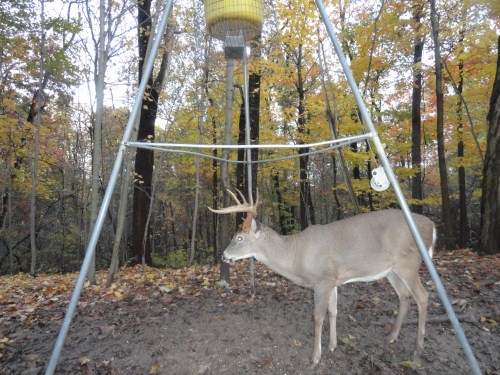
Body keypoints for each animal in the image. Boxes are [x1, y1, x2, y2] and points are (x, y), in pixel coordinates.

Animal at [209, 189, 436, 366]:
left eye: (239, 238)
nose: (224, 255)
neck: (296, 255)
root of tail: (432, 226)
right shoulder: (333, 279)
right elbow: (333, 311)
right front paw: (333, 345)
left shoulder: (322, 280)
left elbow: (318, 317)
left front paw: (315, 356)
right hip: (391, 271)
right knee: (405, 296)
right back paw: (391, 337)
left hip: (409, 263)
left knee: (423, 297)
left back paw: (418, 348)